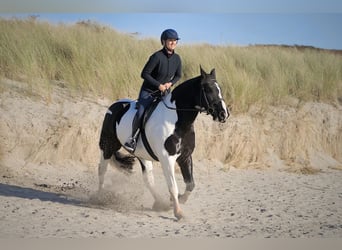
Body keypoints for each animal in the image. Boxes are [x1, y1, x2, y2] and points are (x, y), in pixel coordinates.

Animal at [97, 65, 230, 220]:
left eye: (219, 88)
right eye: (208, 89)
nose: (223, 114)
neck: (178, 122)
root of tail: (114, 106)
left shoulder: (185, 157)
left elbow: (190, 184)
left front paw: (177, 200)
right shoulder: (167, 159)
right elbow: (173, 186)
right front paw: (178, 212)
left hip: (143, 155)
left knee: (148, 179)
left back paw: (160, 203)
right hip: (108, 146)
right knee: (102, 170)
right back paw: (99, 196)